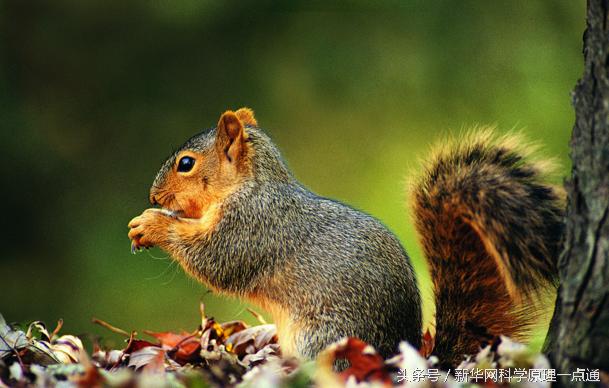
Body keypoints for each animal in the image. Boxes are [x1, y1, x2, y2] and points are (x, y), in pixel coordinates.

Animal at [128, 108, 564, 366]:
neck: (251, 184)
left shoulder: (252, 226)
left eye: (186, 164)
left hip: (322, 337)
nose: (153, 196)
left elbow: (214, 260)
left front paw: (151, 224)